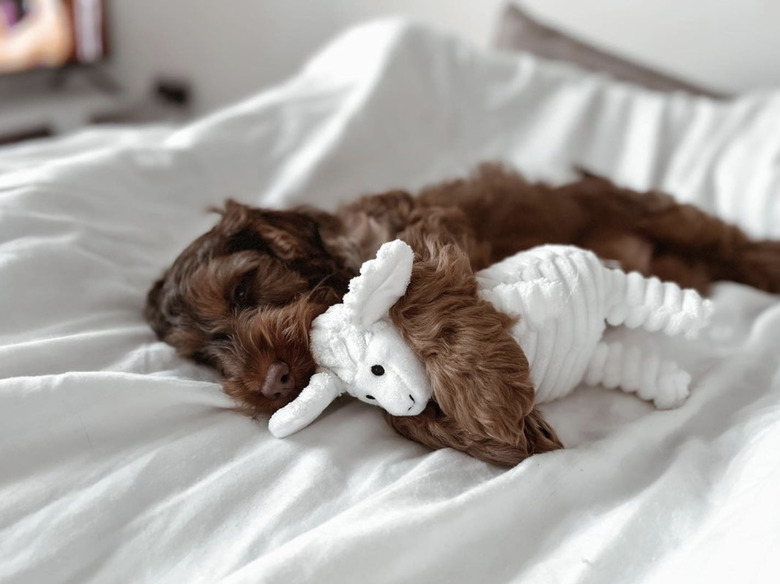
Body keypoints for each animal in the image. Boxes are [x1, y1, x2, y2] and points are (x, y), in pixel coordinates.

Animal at [145, 163, 780, 466]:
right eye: (207, 356)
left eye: (244, 289)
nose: (273, 382)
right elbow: (397, 413)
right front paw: (483, 434)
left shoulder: (424, 232)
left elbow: (425, 298)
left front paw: (489, 400)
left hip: (666, 217)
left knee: (733, 243)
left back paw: (767, 264)